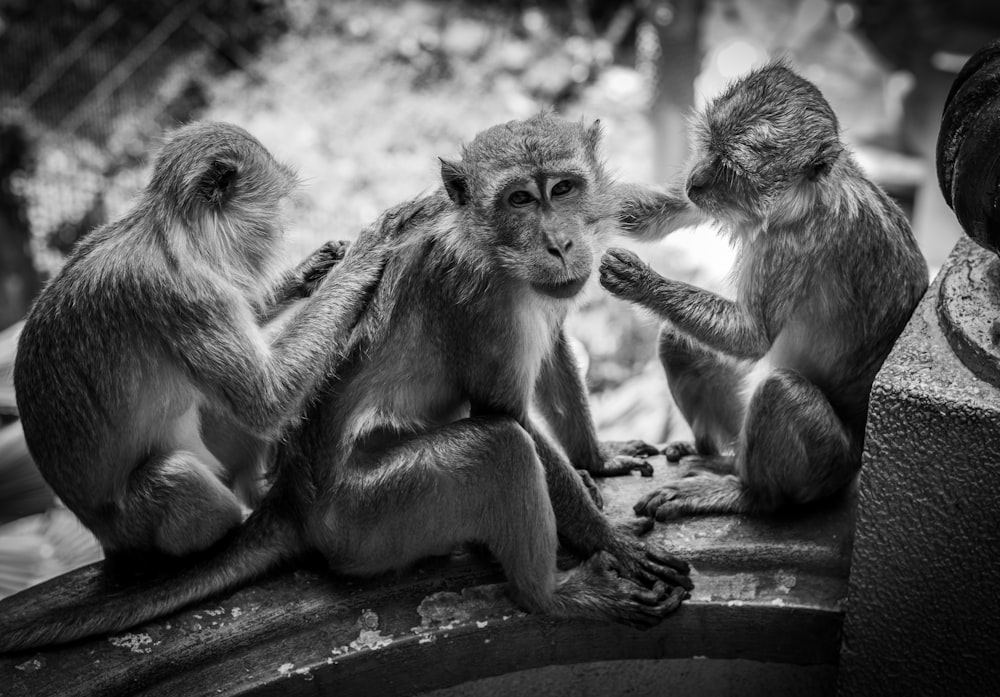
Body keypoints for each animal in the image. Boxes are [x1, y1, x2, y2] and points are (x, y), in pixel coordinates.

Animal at [11, 121, 388, 560]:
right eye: (275, 208)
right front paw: (365, 254)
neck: (174, 233)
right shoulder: (186, 294)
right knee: (175, 473)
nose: (280, 229)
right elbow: (265, 402)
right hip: (133, 524)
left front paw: (311, 270)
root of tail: (103, 535)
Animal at [592, 62, 928, 520]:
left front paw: (639, 281)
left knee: (778, 390)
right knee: (678, 340)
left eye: (730, 168)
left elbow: (752, 338)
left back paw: (748, 493)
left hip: (826, 467)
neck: (804, 197)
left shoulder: (793, 244)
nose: (696, 180)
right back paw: (717, 456)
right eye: (708, 147)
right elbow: (655, 213)